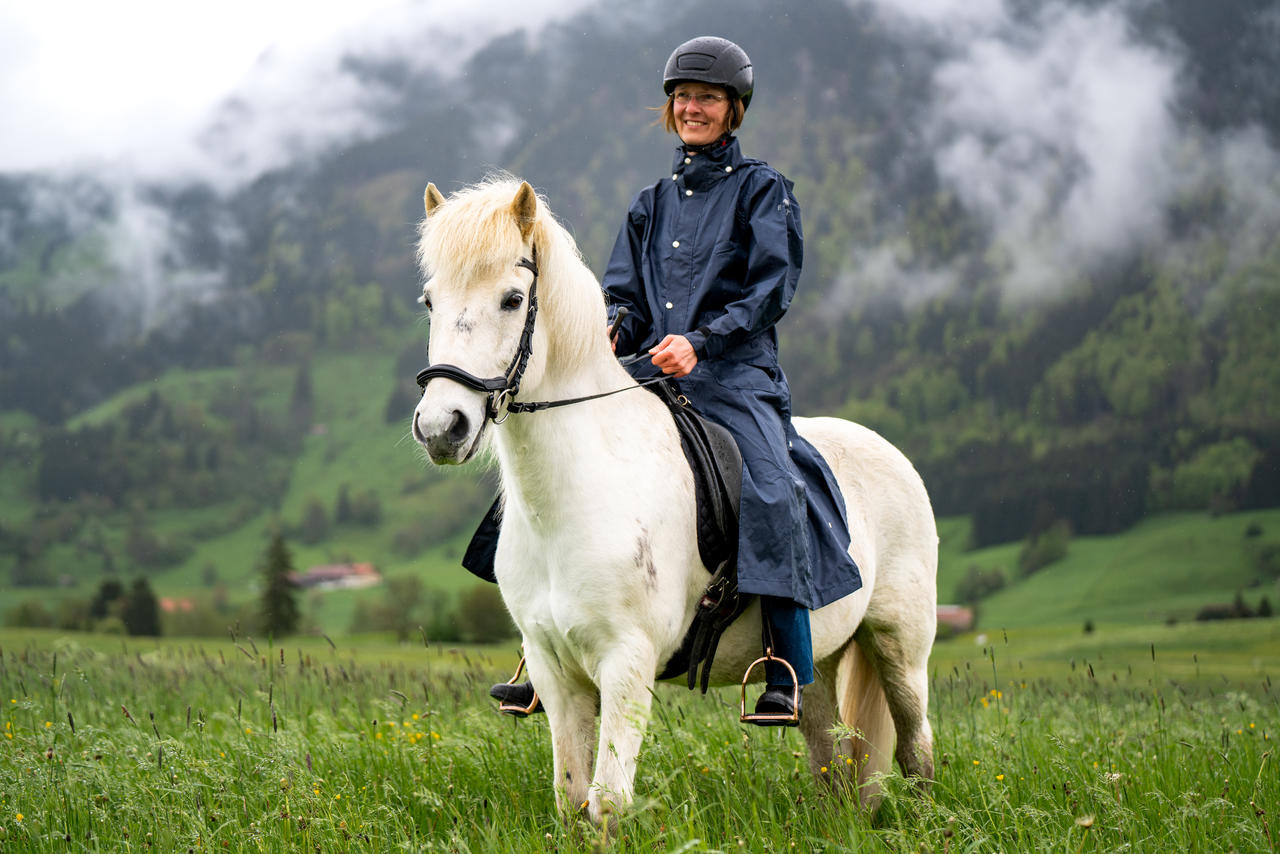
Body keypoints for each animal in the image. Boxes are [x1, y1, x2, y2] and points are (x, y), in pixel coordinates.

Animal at [409, 176, 942, 824]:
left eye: (512, 300)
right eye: (430, 302)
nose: (442, 427)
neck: (576, 496)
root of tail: (892, 454)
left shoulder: (627, 663)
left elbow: (606, 803)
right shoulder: (554, 670)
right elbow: (570, 799)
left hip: (900, 647)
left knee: (916, 747)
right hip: (820, 663)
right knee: (829, 755)